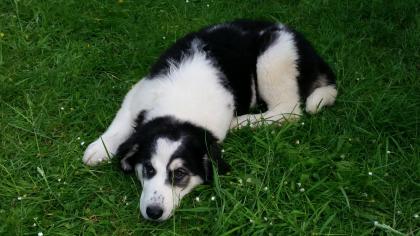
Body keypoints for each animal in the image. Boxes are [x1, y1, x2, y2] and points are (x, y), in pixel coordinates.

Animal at [83, 20, 336, 221]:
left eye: (180, 174)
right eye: (148, 169)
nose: (153, 212)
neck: (179, 109)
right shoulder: (136, 95)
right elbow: (120, 123)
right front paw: (99, 149)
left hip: (274, 56)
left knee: (289, 109)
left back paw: (242, 122)